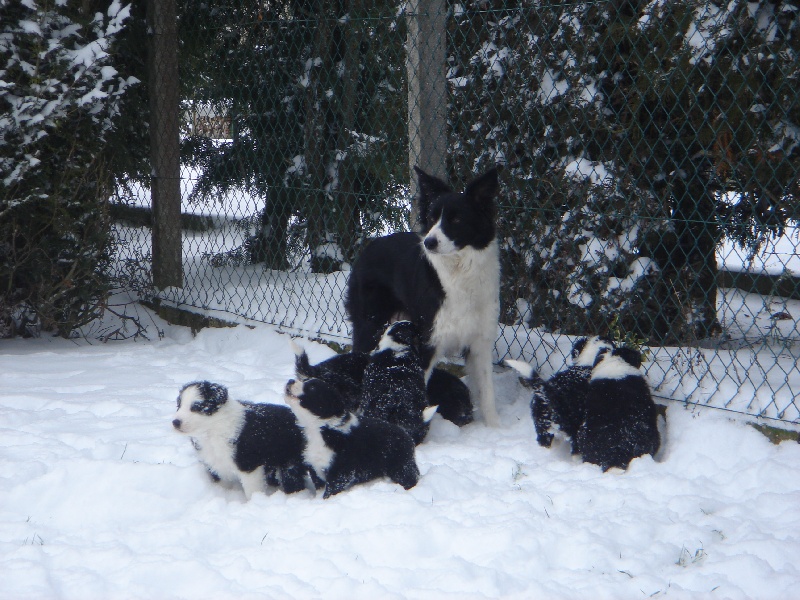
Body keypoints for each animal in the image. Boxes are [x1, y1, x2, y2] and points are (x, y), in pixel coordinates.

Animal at [172, 382, 310, 500]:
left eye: (196, 407)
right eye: (179, 406)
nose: (175, 422)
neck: (213, 430)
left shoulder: (249, 466)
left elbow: (252, 491)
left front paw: (254, 503)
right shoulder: (216, 465)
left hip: (290, 460)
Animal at [286, 378, 422, 500]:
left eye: (312, 387)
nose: (290, 381)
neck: (319, 428)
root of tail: (407, 436)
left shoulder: (340, 471)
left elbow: (331, 490)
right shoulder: (314, 465)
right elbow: (319, 486)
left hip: (400, 465)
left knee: (410, 478)